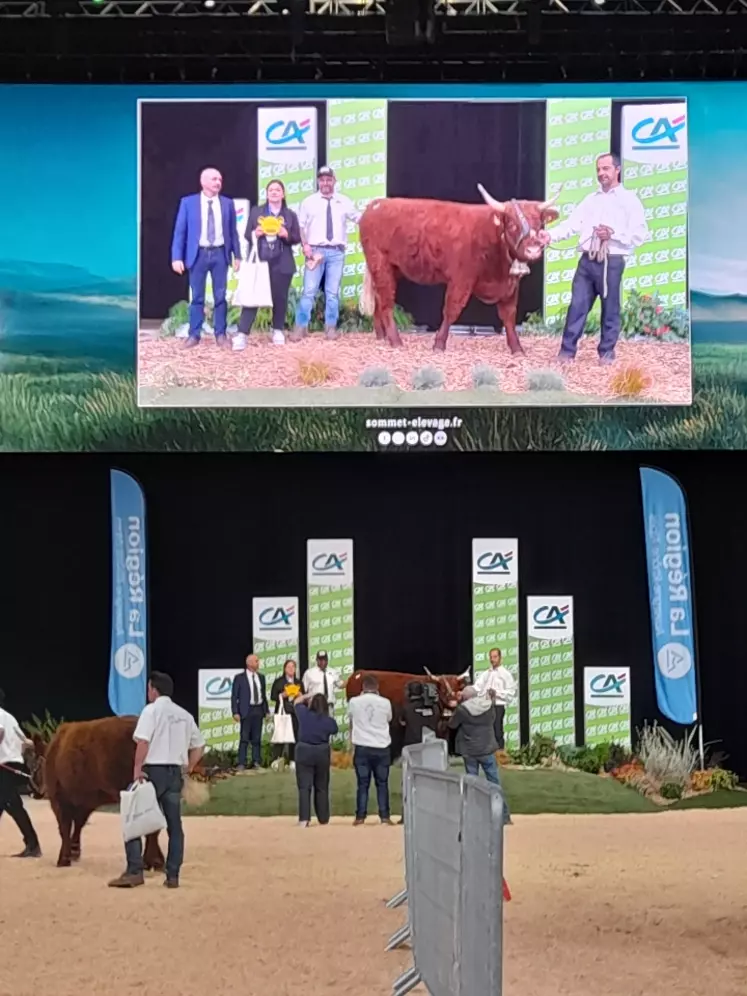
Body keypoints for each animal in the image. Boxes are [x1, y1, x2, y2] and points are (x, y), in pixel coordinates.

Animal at [34, 716, 165, 872]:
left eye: (37, 768)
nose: (37, 793)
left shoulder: (58, 799)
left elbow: (64, 828)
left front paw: (63, 859)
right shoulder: (84, 802)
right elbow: (78, 824)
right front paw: (74, 851)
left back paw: (151, 861)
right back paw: (155, 861)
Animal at [360, 183, 560, 354]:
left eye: (540, 224)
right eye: (512, 224)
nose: (533, 249)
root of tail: (376, 204)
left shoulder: (511, 286)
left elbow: (509, 316)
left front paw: (517, 348)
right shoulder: (461, 279)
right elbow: (451, 310)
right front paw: (439, 344)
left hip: (391, 269)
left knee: (379, 299)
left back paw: (381, 336)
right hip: (380, 262)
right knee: (386, 303)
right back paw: (395, 341)